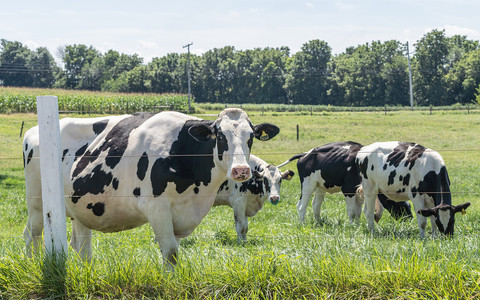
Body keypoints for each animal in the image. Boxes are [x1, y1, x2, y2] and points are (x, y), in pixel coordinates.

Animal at [22, 108, 280, 268]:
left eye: (250, 137)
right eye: (220, 136)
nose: (240, 170)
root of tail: (33, 130)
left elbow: (172, 251)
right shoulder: (157, 208)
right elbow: (171, 253)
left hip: (81, 208)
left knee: (81, 247)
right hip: (37, 203)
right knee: (32, 234)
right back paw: (32, 265)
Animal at [278, 142, 412, 224]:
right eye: (401, 206)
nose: (409, 219)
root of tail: (306, 154)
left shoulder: (360, 191)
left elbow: (358, 212)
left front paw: (357, 225)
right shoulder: (348, 189)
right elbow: (352, 212)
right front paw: (352, 226)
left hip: (320, 186)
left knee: (316, 205)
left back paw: (318, 222)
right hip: (307, 185)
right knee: (301, 206)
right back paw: (302, 223)